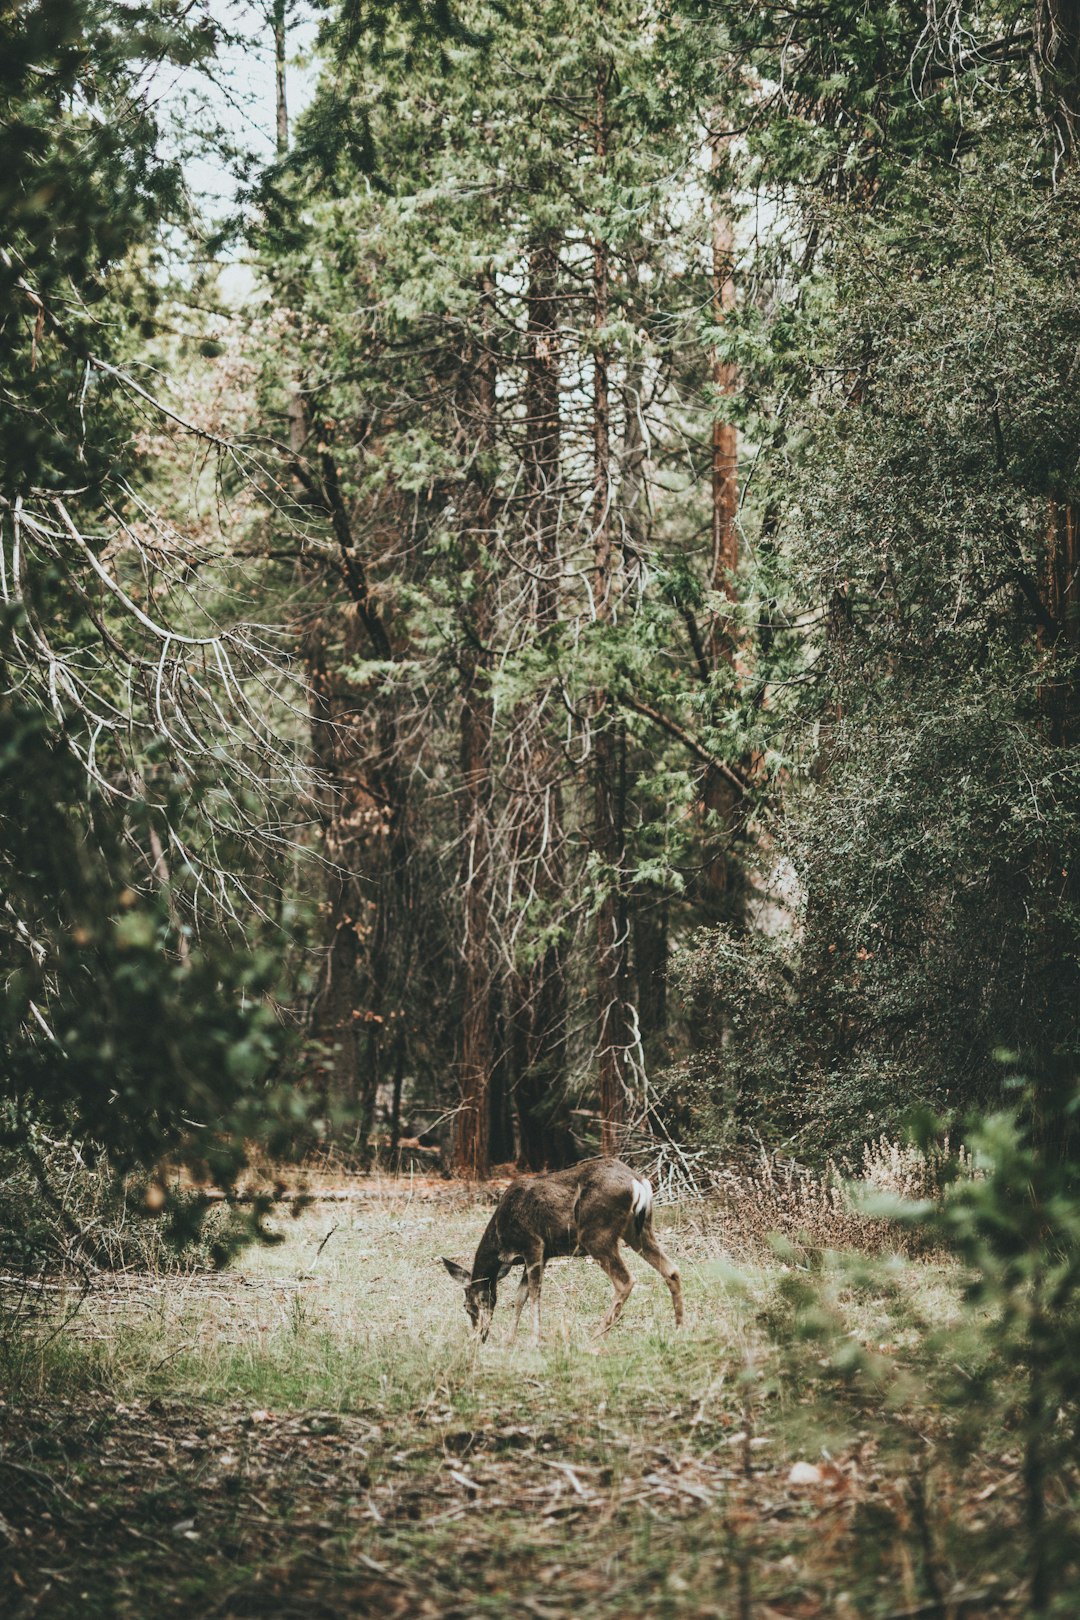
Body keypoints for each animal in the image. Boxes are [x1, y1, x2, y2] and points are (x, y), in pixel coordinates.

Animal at [440, 1159, 683, 1347]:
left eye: (469, 1305)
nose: (478, 1337)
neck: (500, 1238)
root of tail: (638, 1182)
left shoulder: (533, 1244)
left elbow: (534, 1294)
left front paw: (533, 1340)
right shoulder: (543, 1254)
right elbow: (520, 1296)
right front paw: (509, 1339)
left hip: (597, 1233)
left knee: (625, 1280)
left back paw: (595, 1337)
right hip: (639, 1229)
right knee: (671, 1269)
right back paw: (680, 1328)